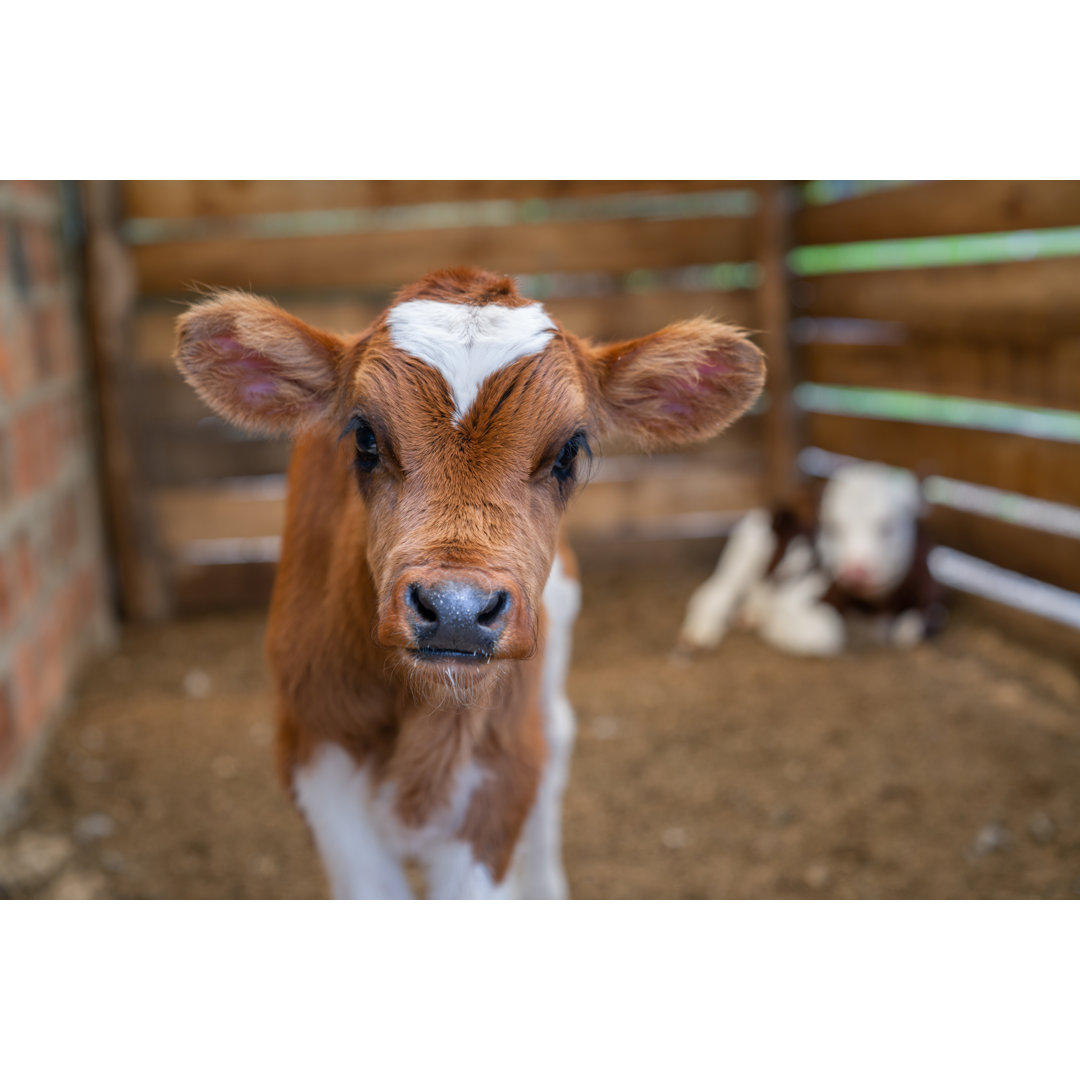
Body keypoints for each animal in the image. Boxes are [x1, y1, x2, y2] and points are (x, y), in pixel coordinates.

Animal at [174, 265, 768, 898]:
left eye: (569, 451)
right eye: (364, 437)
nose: (457, 609)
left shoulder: (499, 778)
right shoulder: (318, 763)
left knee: (558, 737)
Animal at [682, 460, 946, 652]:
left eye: (887, 526)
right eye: (832, 527)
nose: (855, 571)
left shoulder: (930, 594)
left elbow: (913, 628)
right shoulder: (801, 592)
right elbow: (828, 633)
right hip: (746, 551)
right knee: (716, 591)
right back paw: (700, 632)